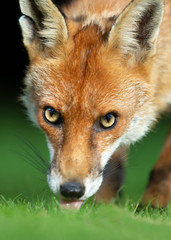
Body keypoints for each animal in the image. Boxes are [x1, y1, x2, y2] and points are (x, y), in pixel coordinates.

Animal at [18, 0, 171, 209]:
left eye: (108, 120)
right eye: (51, 115)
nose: (71, 190)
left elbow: (164, 169)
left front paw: (153, 206)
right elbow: (112, 170)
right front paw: (103, 209)